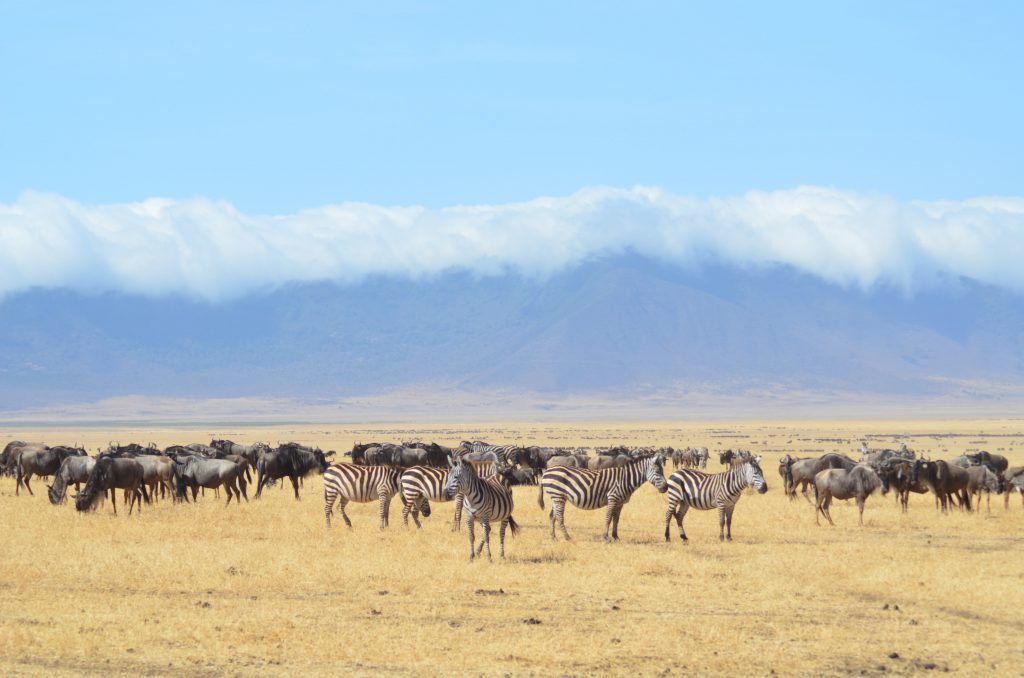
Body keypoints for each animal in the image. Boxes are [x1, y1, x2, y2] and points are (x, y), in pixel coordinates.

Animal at [538, 453, 667, 543]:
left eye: (662, 471)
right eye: (657, 471)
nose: (666, 487)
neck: (625, 479)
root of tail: (546, 472)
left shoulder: (620, 503)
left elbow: (616, 520)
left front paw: (616, 537)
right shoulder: (613, 498)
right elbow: (608, 518)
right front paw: (606, 537)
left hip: (557, 497)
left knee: (552, 516)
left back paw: (553, 537)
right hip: (558, 495)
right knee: (559, 517)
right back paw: (567, 537)